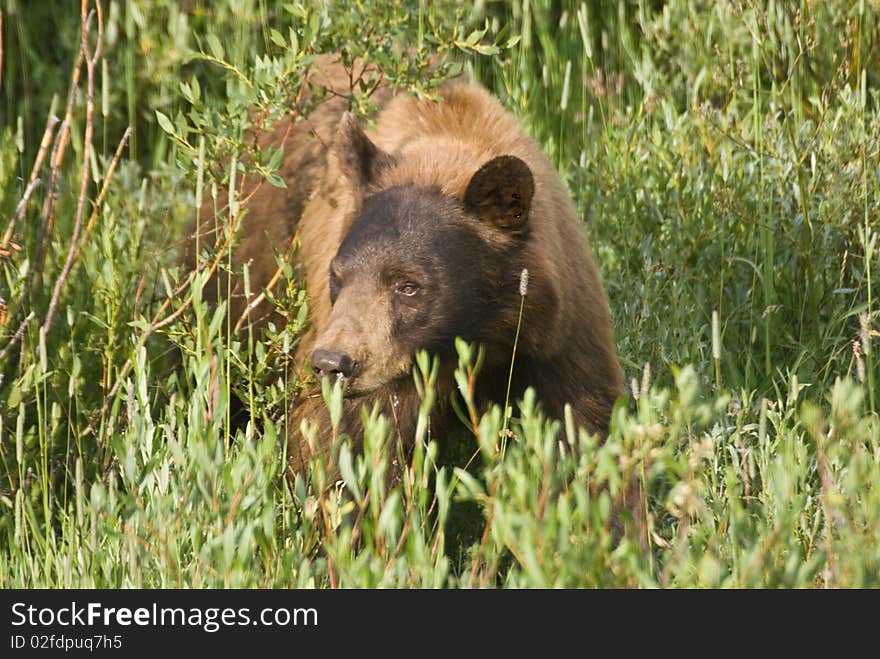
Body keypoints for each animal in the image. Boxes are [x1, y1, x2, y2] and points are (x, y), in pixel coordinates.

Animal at [184, 55, 624, 484]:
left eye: (408, 285)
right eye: (337, 276)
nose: (332, 363)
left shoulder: (558, 341)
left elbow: (583, 430)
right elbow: (347, 448)